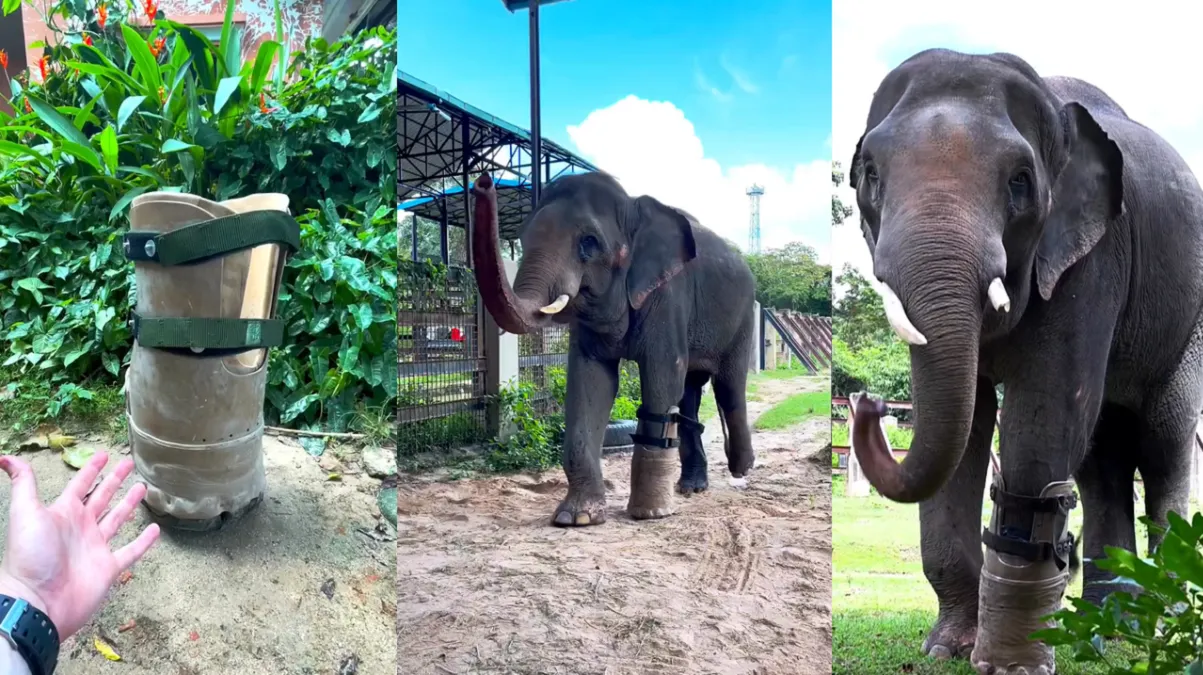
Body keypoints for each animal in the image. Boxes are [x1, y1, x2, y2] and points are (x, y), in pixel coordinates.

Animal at [469, 171, 757, 527]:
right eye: (522, 239)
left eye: (589, 243)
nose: (483, 182)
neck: (634, 206)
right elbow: (590, 382)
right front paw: (577, 518)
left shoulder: (668, 295)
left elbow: (662, 376)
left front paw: (650, 514)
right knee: (690, 395)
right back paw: (691, 487)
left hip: (743, 317)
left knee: (728, 385)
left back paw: (740, 468)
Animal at [846, 48, 1203, 674]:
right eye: (870, 175)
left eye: (1020, 181)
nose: (869, 403)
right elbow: (969, 421)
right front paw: (949, 647)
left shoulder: (1092, 255)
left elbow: (1044, 413)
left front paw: (1009, 662)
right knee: (1102, 462)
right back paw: (1109, 631)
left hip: (1190, 321)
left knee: (1163, 442)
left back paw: (1160, 626)